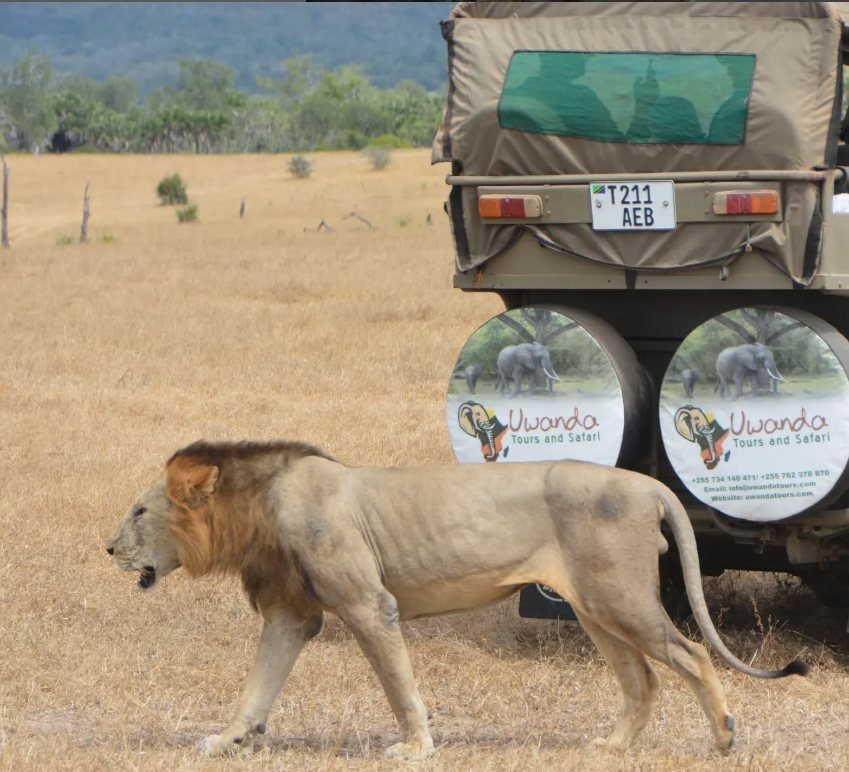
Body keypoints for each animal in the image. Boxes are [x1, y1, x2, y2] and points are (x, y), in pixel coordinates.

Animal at [107, 439, 808, 759]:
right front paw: (228, 739)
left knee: (692, 655)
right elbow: (258, 684)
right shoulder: (292, 614)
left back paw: (724, 737)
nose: (108, 548)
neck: (259, 509)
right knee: (643, 679)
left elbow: (397, 684)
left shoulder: (369, 605)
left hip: (619, 597)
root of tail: (646, 485)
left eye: (139, 510)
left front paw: (415, 748)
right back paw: (611, 747)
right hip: (594, 606)